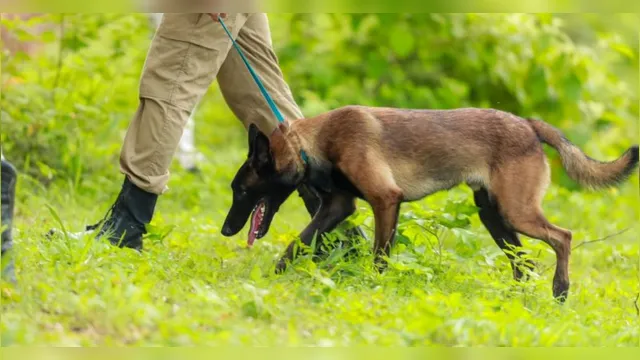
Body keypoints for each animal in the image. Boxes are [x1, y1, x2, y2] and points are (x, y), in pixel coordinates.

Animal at [221, 105, 640, 302]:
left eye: (240, 191)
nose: (226, 230)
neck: (312, 143)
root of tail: (527, 123)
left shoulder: (385, 200)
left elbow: (380, 257)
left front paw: (375, 288)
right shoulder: (337, 209)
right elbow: (296, 244)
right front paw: (271, 279)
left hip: (516, 212)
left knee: (563, 237)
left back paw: (561, 290)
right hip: (495, 217)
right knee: (524, 263)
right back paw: (516, 298)